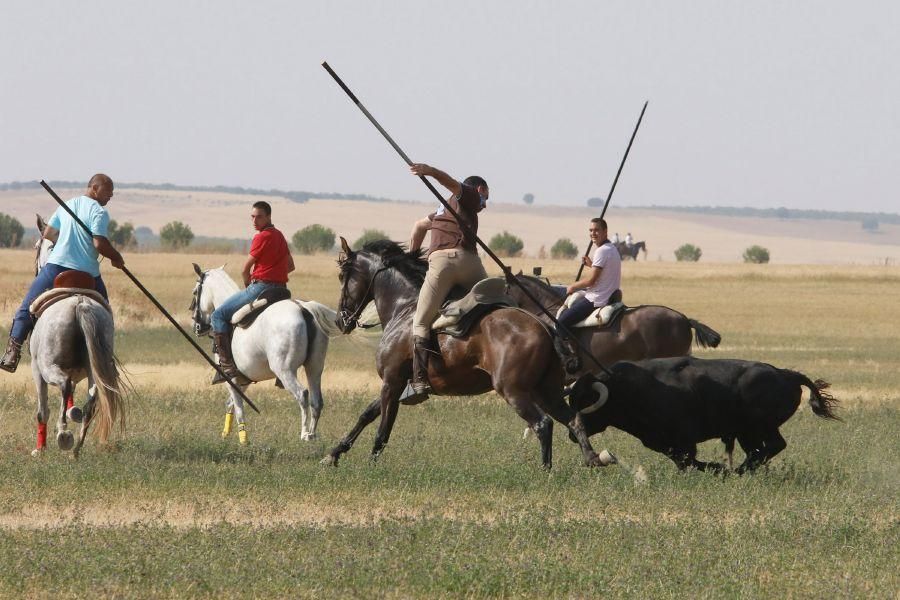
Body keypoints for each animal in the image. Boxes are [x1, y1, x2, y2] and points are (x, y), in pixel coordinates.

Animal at [190, 264, 342, 446]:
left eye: (195, 292)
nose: (197, 326)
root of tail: (303, 308)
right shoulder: (242, 380)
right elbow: (230, 404)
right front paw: (225, 434)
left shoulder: (230, 378)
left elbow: (239, 407)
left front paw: (243, 439)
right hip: (314, 367)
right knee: (316, 401)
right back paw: (312, 435)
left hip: (284, 370)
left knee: (302, 395)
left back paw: (304, 434)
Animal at [322, 238, 612, 468]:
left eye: (342, 277)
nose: (340, 320)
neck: (402, 307)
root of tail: (544, 326)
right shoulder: (397, 383)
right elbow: (367, 415)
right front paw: (334, 453)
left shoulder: (391, 381)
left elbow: (383, 428)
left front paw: (371, 464)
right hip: (546, 390)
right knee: (573, 419)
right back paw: (592, 460)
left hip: (514, 390)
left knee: (543, 424)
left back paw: (545, 471)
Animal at [568, 356, 836, 474]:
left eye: (586, 400)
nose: (572, 431)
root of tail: (785, 374)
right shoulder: (664, 442)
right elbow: (682, 459)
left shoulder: (684, 440)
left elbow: (688, 459)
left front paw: (717, 467)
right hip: (747, 433)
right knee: (759, 451)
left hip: (759, 427)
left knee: (773, 445)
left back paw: (735, 471)